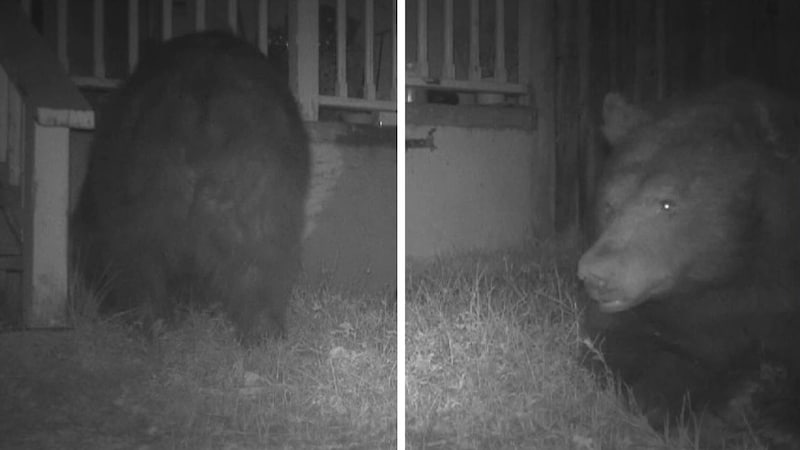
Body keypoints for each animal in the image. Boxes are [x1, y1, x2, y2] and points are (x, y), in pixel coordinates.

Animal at [72, 31, 310, 342]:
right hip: (258, 181)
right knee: (260, 259)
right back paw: (263, 330)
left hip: (145, 182)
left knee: (139, 258)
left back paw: (150, 322)